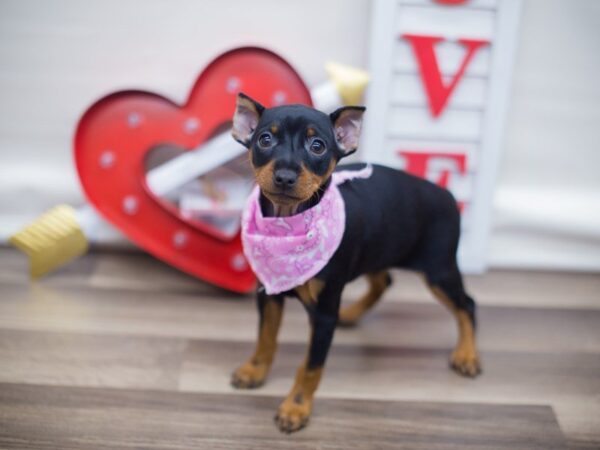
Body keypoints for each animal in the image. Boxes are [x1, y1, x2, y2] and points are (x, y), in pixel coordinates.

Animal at [227, 93, 480, 434]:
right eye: (265, 139)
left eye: (317, 146)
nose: (284, 177)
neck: (287, 222)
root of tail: (446, 194)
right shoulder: (269, 295)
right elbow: (265, 338)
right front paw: (255, 370)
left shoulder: (324, 314)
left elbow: (311, 366)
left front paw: (296, 408)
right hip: (378, 250)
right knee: (384, 282)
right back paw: (352, 314)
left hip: (438, 270)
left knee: (467, 304)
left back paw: (467, 355)